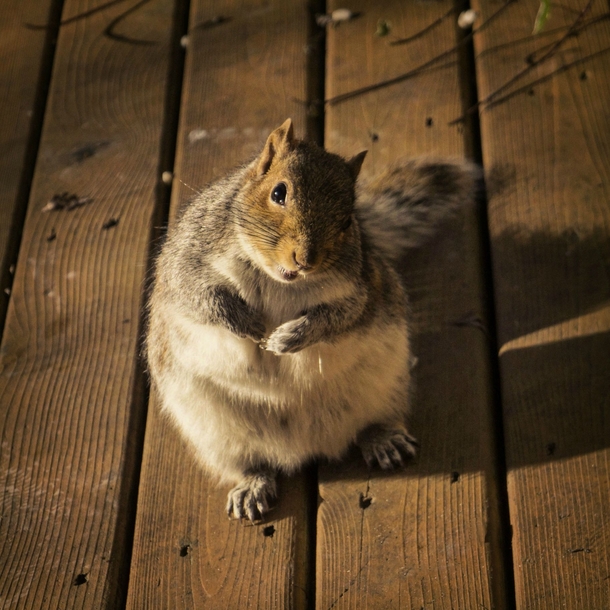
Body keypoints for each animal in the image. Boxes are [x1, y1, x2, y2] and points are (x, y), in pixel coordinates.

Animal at [145, 120, 478, 524]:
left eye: (348, 220)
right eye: (278, 192)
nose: (306, 259)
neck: (276, 277)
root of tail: (302, 447)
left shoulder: (358, 287)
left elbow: (341, 316)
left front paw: (288, 337)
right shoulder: (186, 261)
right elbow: (199, 296)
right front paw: (247, 323)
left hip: (386, 384)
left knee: (371, 423)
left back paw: (384, 439)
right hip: (212, 430)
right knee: (249, 463)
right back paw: (251, 485)